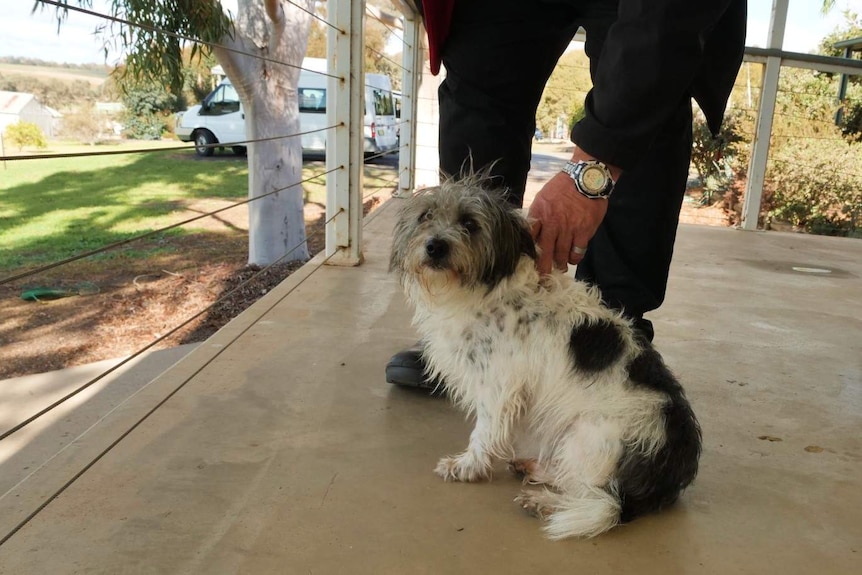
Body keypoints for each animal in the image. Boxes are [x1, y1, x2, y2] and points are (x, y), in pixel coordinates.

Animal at [392, 179, 704, 540]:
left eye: (469, 223)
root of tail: (669, 476)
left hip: (589, 435)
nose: (434, 247)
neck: (490, 291)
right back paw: (536, 470)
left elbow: (483, 432)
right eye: (426, 216)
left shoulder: (499, 388)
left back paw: (544, 502)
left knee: (595, 498)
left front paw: (468, 466)